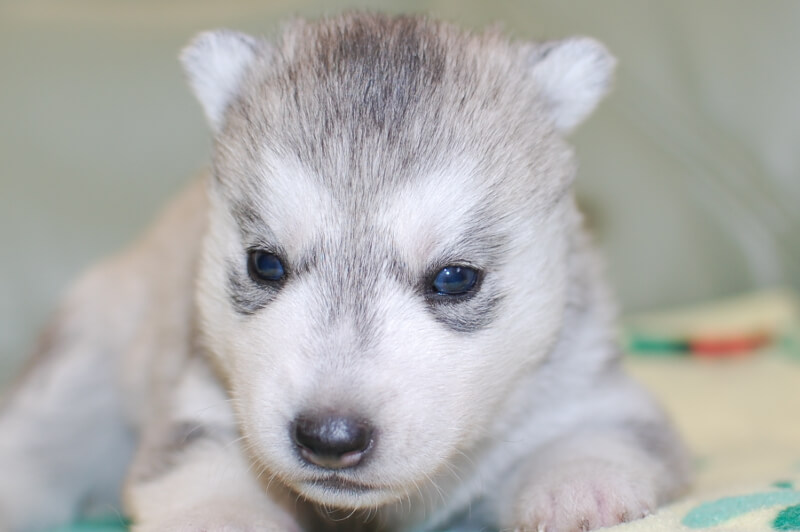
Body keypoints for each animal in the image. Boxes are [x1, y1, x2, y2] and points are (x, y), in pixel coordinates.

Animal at [0, 11, 692, 532]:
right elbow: (203, 469)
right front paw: (226, 514)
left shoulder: (590, 385)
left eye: (454, 278)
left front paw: (581, 486)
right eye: (265, 263)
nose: (330, 436)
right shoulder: (196, 403)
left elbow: (601, 433)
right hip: (82, 364)